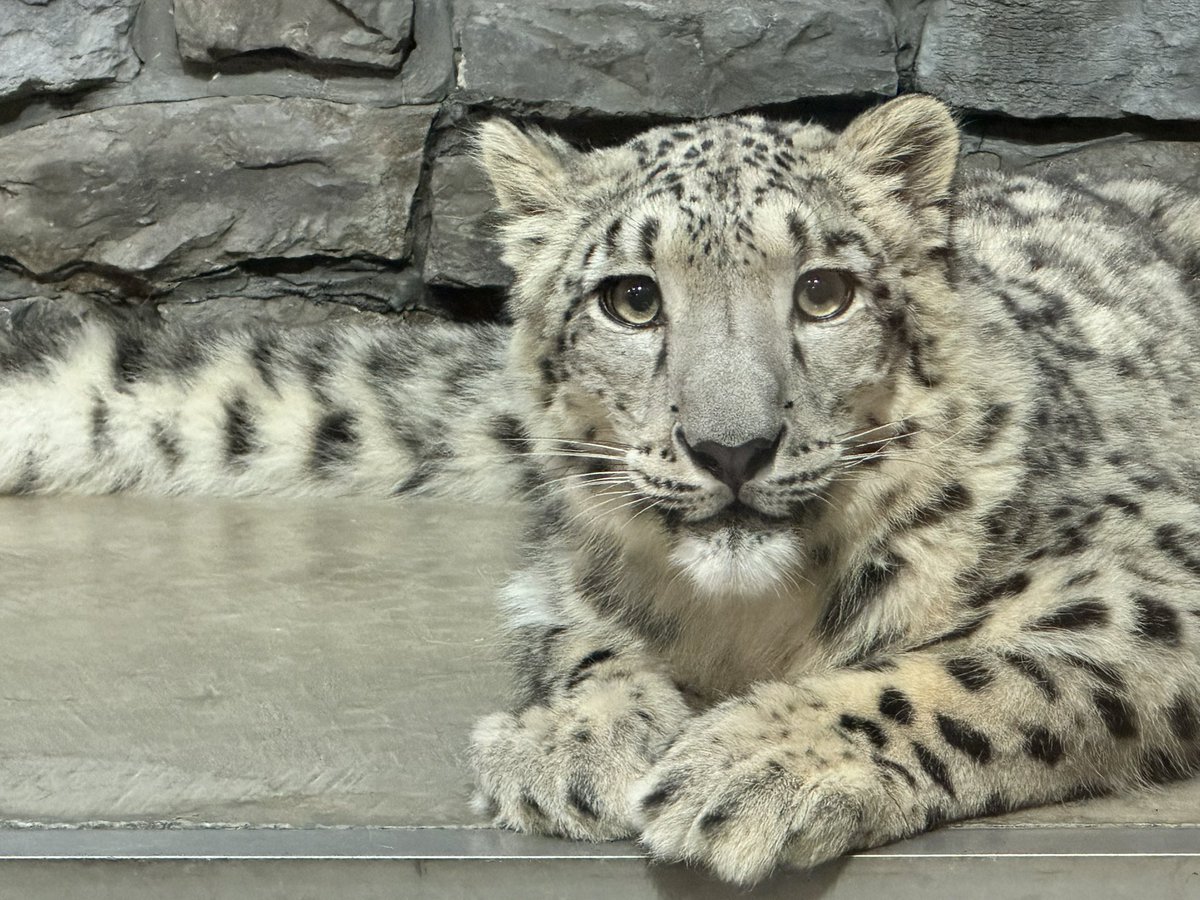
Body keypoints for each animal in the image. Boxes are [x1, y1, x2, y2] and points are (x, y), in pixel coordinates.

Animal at [2, 95, 1200, 883]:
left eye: (824, 291)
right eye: (631, 298)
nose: (732, 448)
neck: (756, 616)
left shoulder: (1156, 576)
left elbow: (968, 675)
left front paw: (755, 765)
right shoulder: (561, 570)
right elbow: (583, 638)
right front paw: (573, 748)